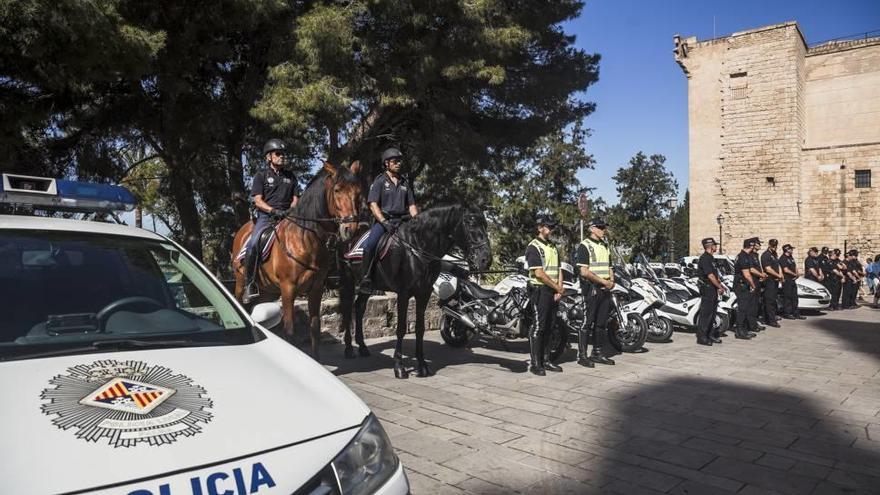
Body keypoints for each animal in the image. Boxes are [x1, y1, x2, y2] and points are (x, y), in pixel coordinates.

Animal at [230, 163, 364, 360]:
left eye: (358, 192)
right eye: (337, 190)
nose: (350, 228)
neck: (305, 239)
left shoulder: (316, 289)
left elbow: (314, 327)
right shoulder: (288, 289)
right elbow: (290, 331)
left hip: (268, 291)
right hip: (241, 284)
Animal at [338, 205, 492, 380]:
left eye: (485, 224)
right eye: (470, 223)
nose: (486, 259)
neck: (417, 248)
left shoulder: (423, 294)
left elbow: (420, 329)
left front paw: (422, 366)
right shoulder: (404, 293)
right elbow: (401, 328)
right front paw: (399, 368)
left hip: (368, 286)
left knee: (359, 307)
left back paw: (363, 347)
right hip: (348, 281)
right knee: (347, 309)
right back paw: (349, 349)